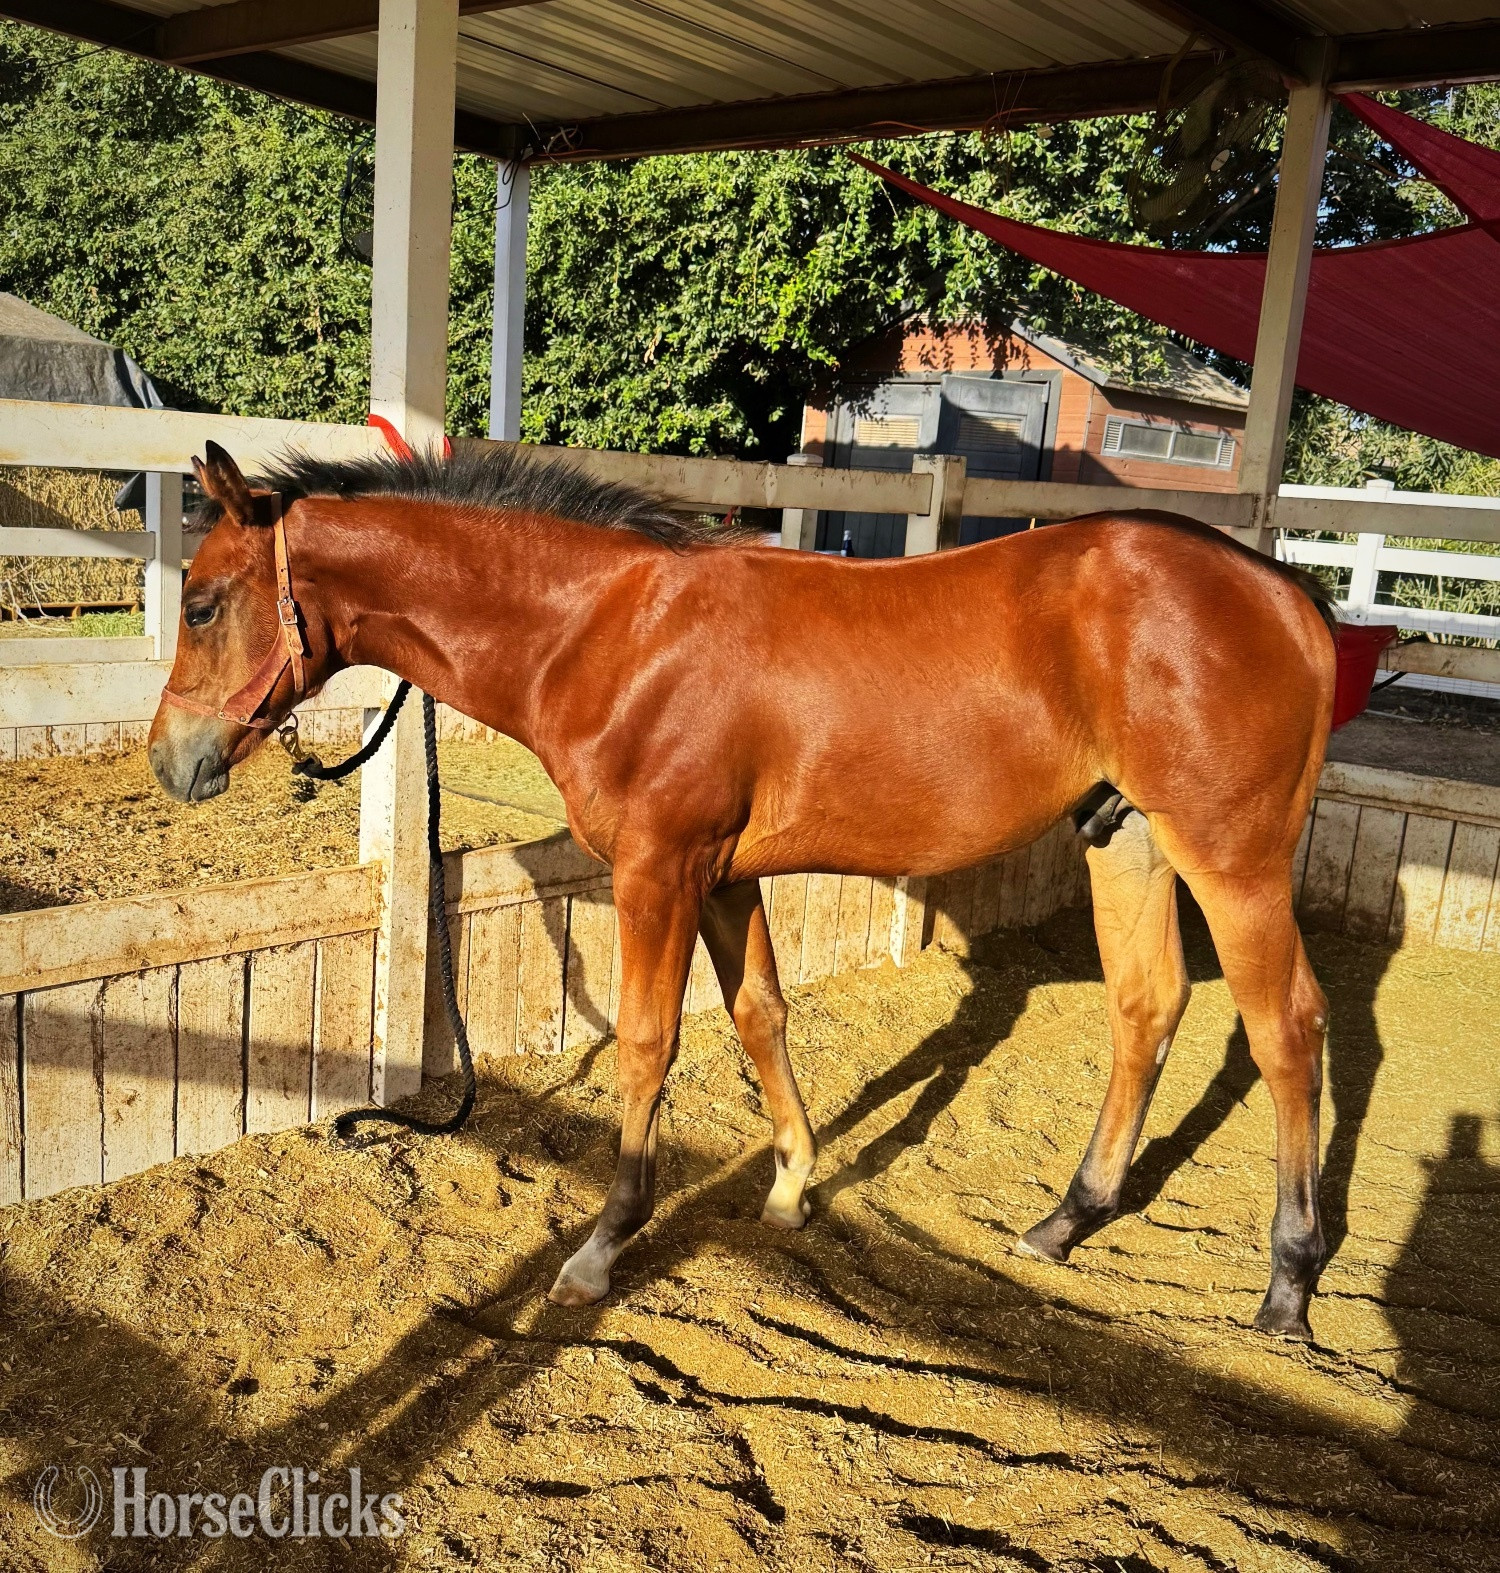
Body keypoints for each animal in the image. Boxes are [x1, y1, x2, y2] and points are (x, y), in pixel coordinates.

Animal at [149, 440, 1337, 1339]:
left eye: (201, 603)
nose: (171, 762)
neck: (614, 636)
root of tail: (1291, 597)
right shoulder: (723, 877)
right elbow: (762, 1014)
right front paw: (792, 1184)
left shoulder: (658, 871)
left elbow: (647, 1042)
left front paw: (602, 1244)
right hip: (1128, 840)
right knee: (1148, 1007)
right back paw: (1066, 1218)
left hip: (1230, 858)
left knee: (1287, 1028)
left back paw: (1288, 1282)